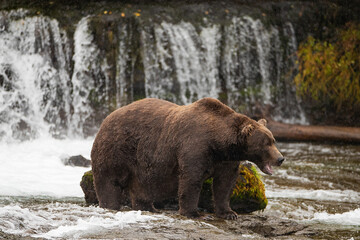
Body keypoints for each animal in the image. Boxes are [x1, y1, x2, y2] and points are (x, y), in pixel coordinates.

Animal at [91, 97, 286, 219]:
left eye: (273, 140)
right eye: (266, 143)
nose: (280, 158)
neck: (218, 142)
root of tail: (105, 120)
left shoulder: (226, 160)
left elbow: (225, 184)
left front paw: (229, 213)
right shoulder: (194, 147)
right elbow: (191, 179)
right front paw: (194, 212)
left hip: (140, 162)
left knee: (141, 185)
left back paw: (149, 207)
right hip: (116, 148)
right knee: (109, 180)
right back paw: (110, 204)